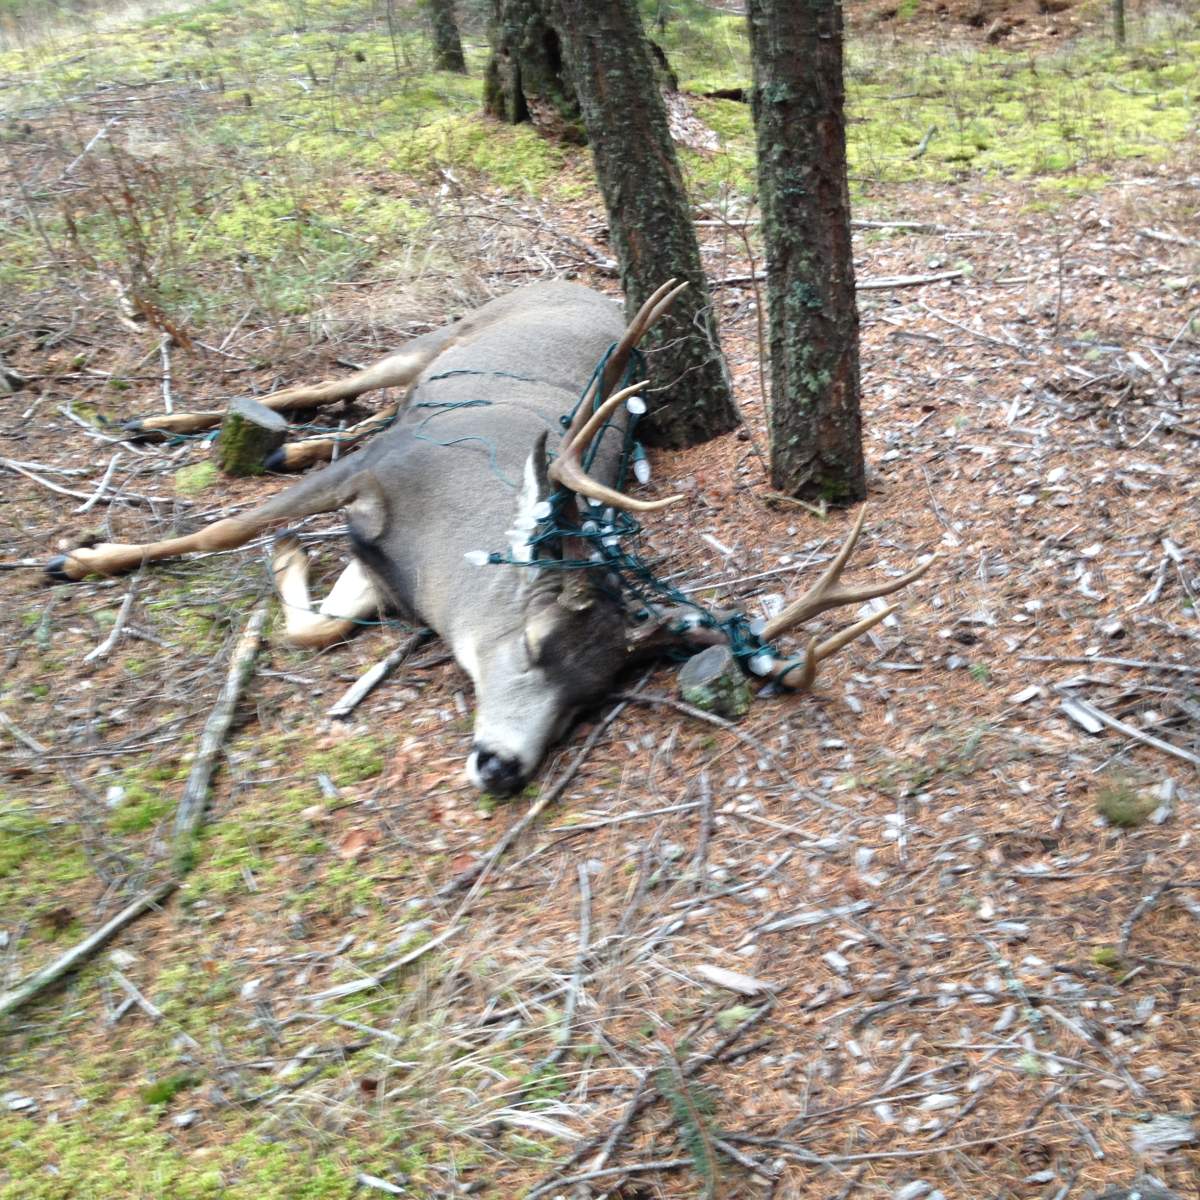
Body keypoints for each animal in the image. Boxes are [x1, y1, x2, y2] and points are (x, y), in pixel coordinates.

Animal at [46, 280, 933, 796]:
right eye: (534, 643)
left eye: (591, 696)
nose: (503, 766)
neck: (442, 549)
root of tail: (575, 279)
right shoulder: (381, 472)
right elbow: (222, 528)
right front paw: (86, 557)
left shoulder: (385, 564)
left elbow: (319, 624)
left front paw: (291, 555)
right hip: (439, 339)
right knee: (335, 386)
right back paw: (162, 424)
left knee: (351, 412)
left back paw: (264, 445)